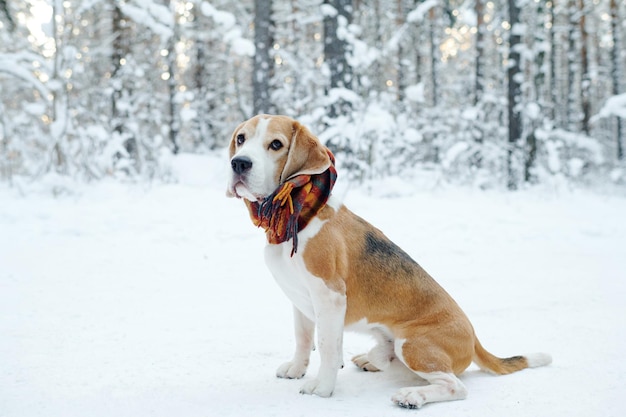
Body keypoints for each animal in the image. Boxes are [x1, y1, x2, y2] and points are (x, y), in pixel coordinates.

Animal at [227, 113, 548, 406]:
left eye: (276, 144)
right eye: (241, 139)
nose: (239, 163)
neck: (297, 213)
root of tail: (474, 336)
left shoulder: (329, 297)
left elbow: (327, 346)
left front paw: (323, 387)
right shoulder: (301, 299)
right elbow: (303, 339)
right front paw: (297, 369)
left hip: (414, 344)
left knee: (455, 386)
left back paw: (413, 396)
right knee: (386, 358)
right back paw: (371, 359)